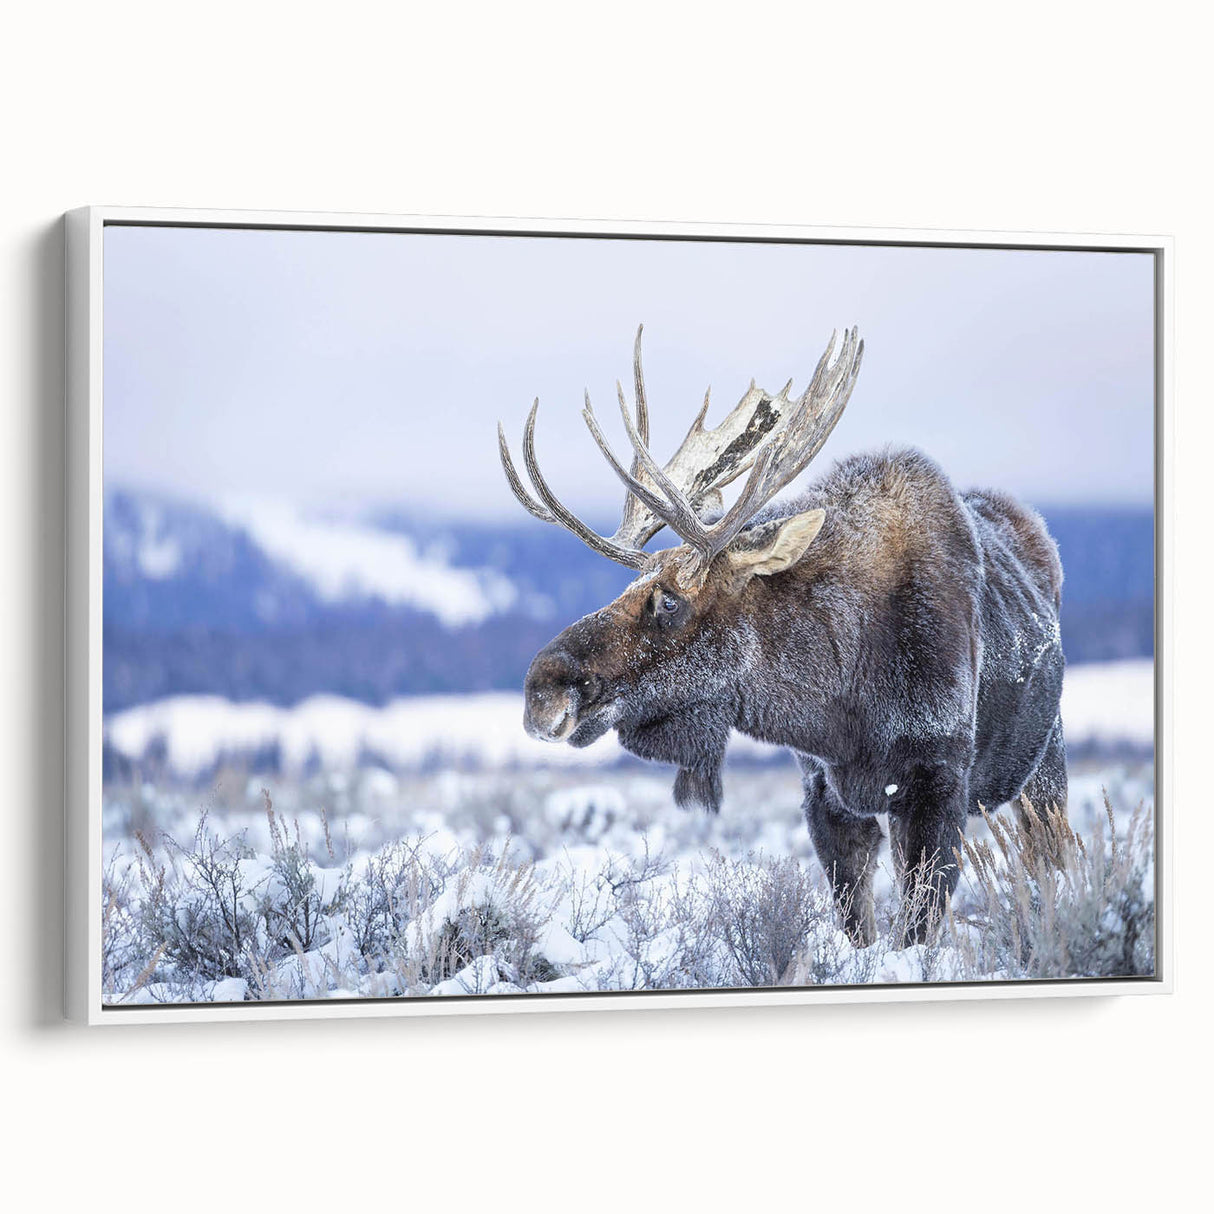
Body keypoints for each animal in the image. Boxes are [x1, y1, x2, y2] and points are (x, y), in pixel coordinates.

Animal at [498, 327, 1066, 946]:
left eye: (669, 600)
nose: (540, 690)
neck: (842, 704)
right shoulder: (823, 793)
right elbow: (858, 925)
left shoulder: (937, 783)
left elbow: (918, 929)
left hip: (1046, 762)